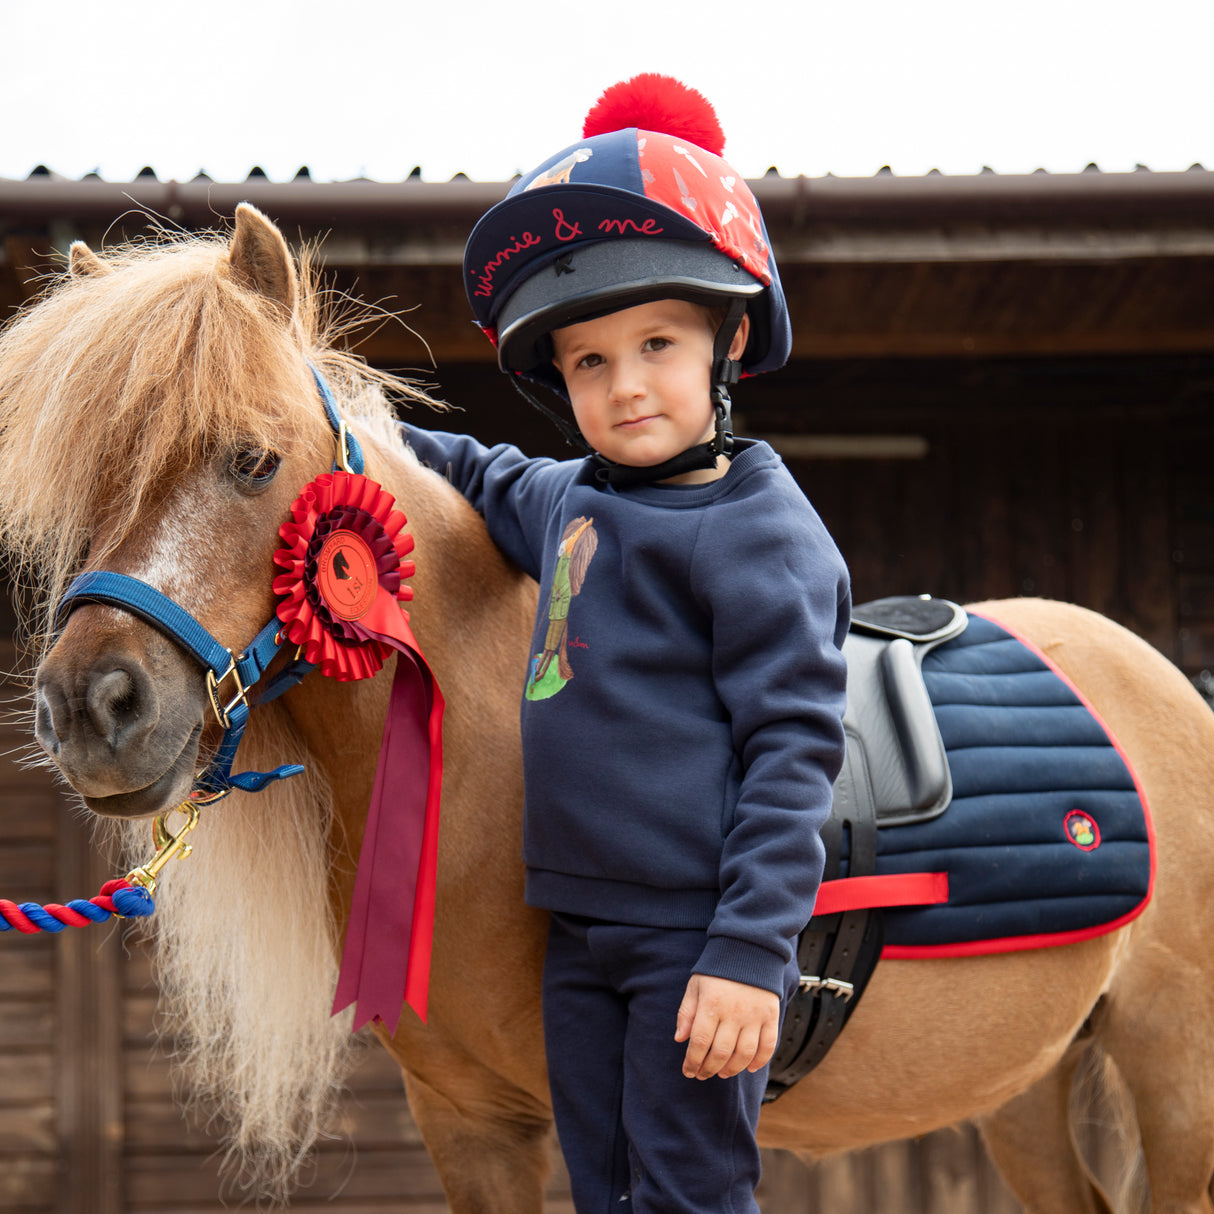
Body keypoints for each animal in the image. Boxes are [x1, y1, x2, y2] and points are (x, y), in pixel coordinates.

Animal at [2, 203, 1214, 1209]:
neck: (482, 752)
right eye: (87, 484)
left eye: (251, 460)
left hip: (1175, 1084)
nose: (91, 708)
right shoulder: (471, 1124)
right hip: (1027, 1088)